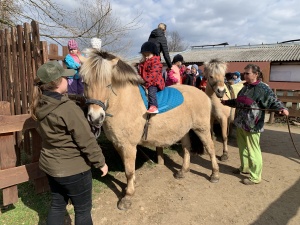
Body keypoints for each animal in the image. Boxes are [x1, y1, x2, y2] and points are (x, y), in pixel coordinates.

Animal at [79, 48, 220, 209]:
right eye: (84, 82)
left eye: (108, 83)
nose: (95, 117)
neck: (124, 103)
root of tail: (203, 94)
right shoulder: (118, 144)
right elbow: (128, 168)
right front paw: (130, 186)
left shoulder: (129, 146)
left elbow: (129, 171)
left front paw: (128, 196)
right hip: (184, 130)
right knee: (186, 148)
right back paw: (183, 171)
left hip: (202, 128)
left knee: (210, 148)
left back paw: (215, 174)